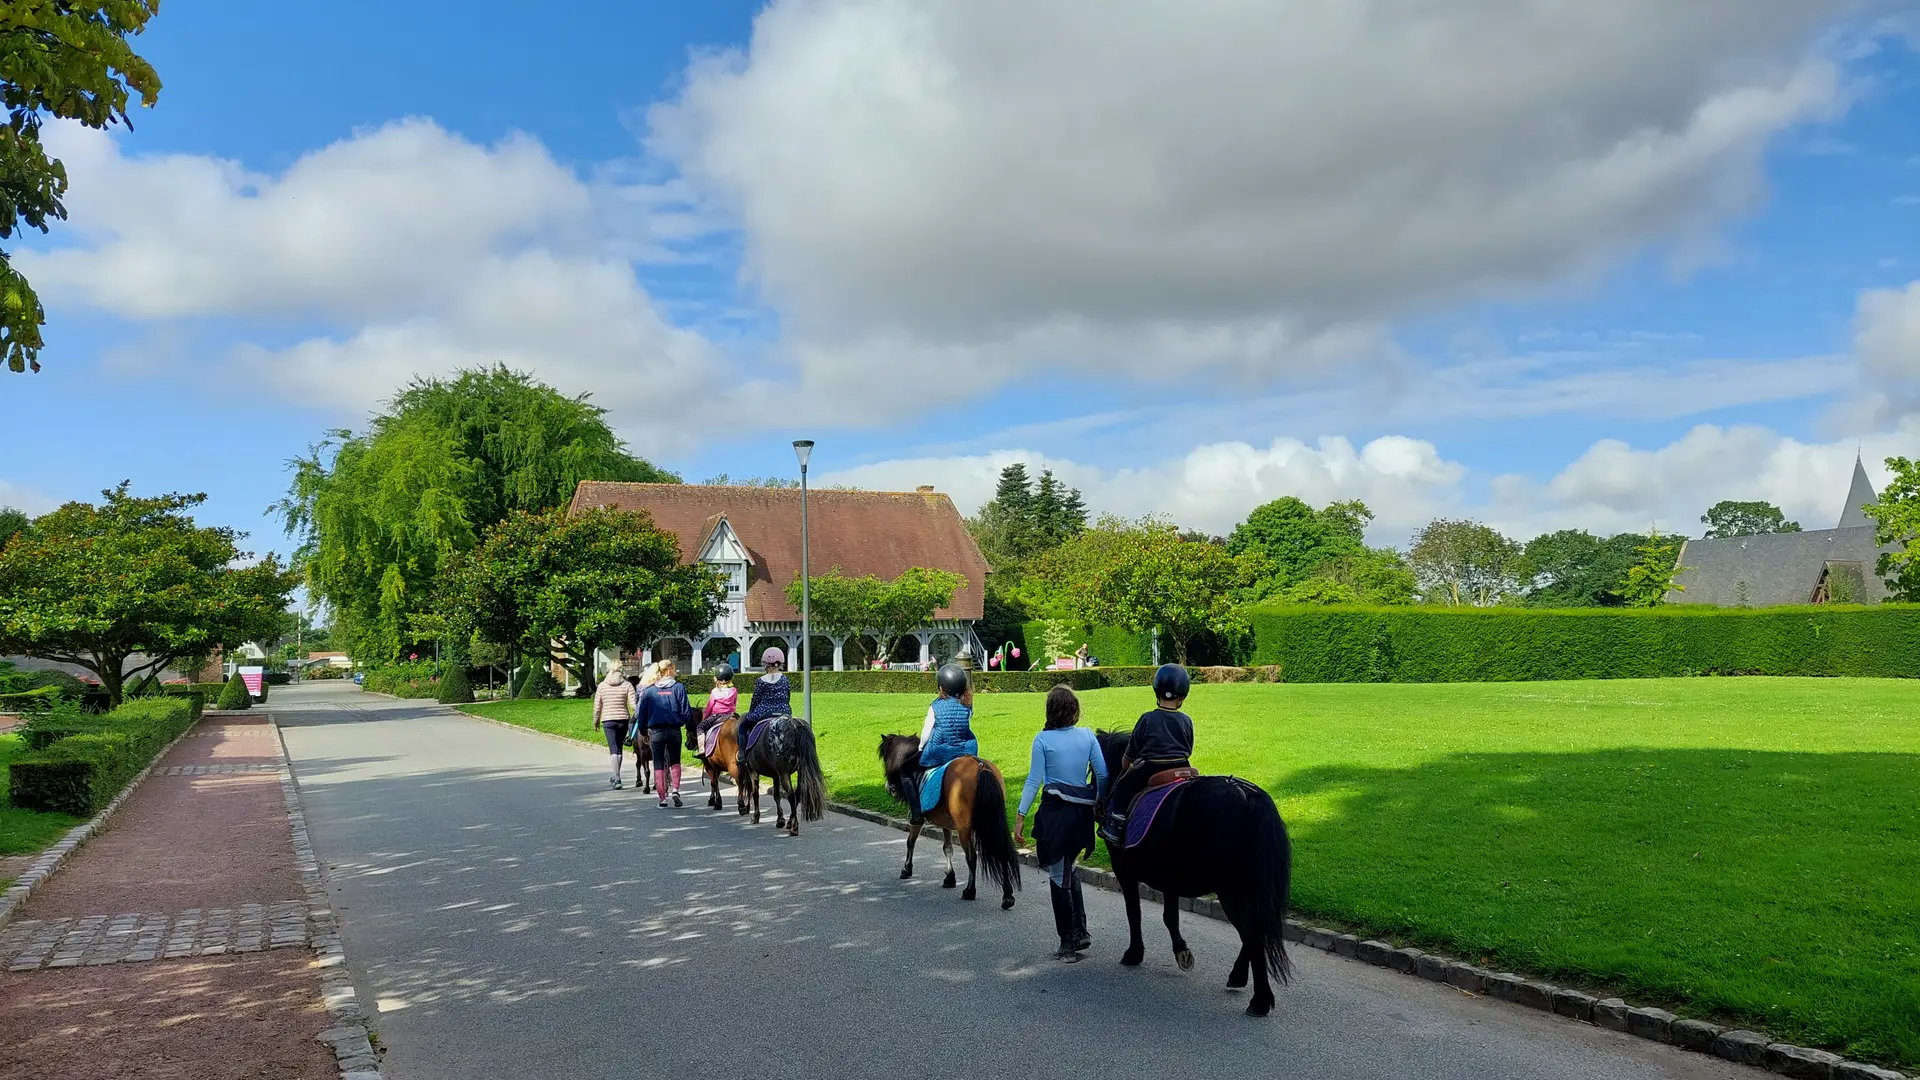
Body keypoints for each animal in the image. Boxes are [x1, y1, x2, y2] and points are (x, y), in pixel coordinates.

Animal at [875, 734, 1021, 903]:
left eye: (884, 757)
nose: (888, 787)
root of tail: (980, 766)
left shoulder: (918, 819)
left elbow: (910, 842)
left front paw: (906, 869)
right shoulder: (945, 822)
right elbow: (947, 848)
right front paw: (950, 878)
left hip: (964, 828)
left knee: (971, 856)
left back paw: (969, 891)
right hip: (993, 823)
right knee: (1000, 852)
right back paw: (1007, 896)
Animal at [1098, 726, 1290, 1014]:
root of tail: (1246, 795)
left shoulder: (1126, 872)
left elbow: (1135, 912)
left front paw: (1134, 953)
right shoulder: (1169, 879)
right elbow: (1170, 917)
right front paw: (1181, 952)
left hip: (1231, 889)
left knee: (1252, 931)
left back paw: (1260, 1000)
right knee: (1254, 928)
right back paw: (1239, 977)